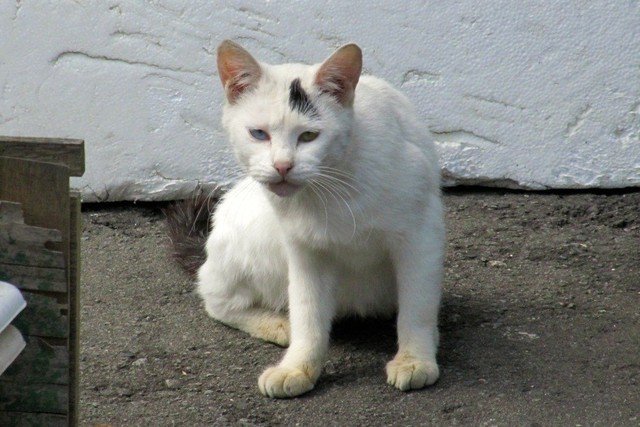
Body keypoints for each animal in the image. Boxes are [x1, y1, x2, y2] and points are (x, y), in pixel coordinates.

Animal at [196, 40, 444, 398]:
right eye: (259, 134)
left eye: (309, 136)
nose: (282, 166)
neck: (333, 190)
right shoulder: (304, 250)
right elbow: (307, 310)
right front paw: (298, 366)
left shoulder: (421, 236)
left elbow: (418, 306)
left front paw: (415, 360)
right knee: (216, 300)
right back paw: (277, 324)